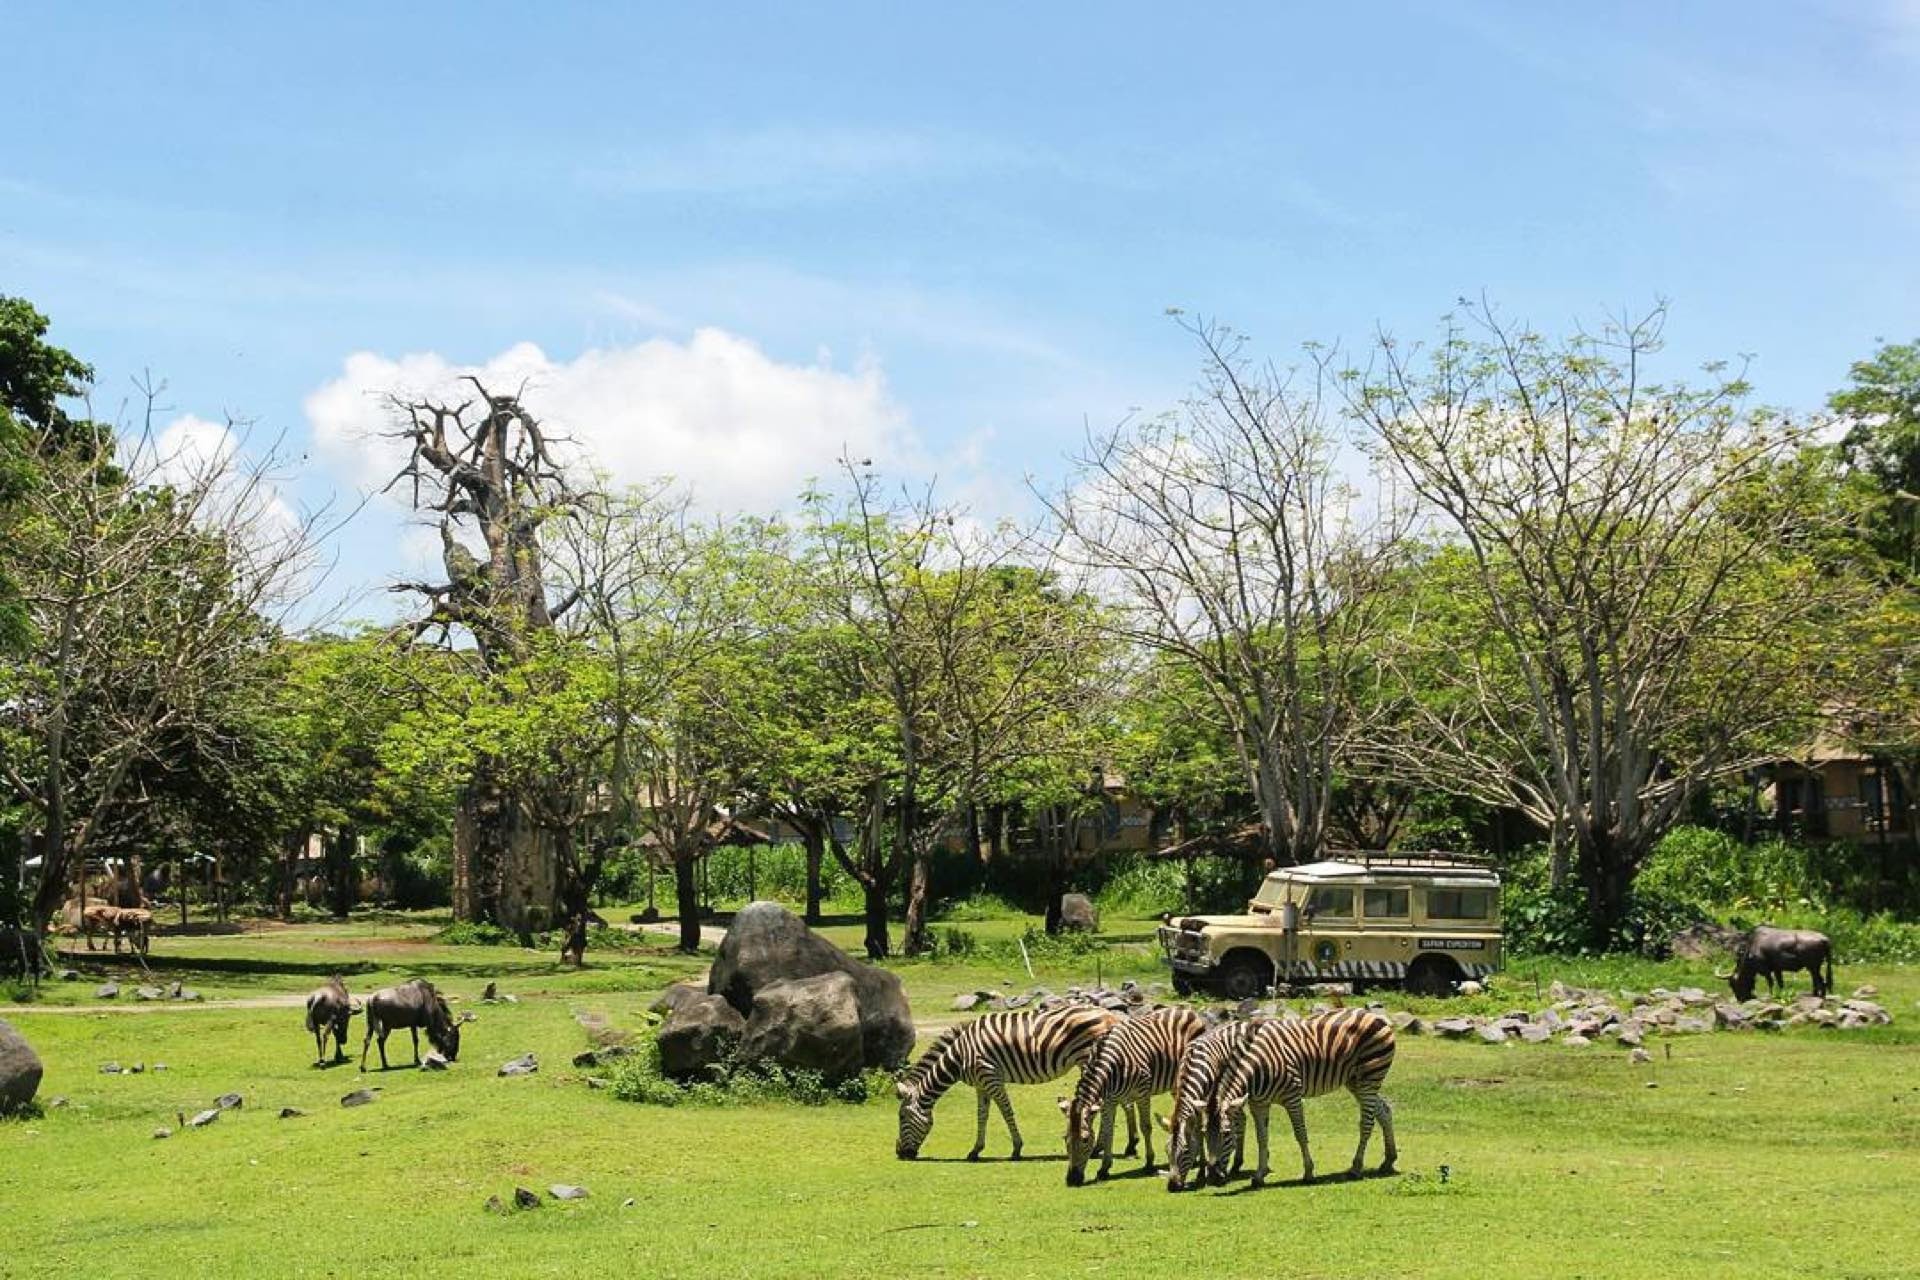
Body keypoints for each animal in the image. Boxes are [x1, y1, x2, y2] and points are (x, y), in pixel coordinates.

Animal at [894, 1013, 1121, 1159]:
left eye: (902, 1117)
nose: (899, 1153)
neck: (960, 1056)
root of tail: (1110, 1014)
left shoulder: (990, 1077)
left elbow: (1006, 1111)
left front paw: (1017, 1148)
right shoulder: (981, 1085)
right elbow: (982, 1115)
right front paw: (975, 1150)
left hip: (1090, 1060)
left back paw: (1099, 1148)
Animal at [1059, 1013, 1205, 1189]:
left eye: (1085, 1139)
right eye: (1065, 1138)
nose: (1072, 1180)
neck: (1110, 1067)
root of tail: (1188, 1012)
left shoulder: (1143, 1092)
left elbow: (1146, 1127)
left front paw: (1149, 1163)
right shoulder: (1108, 1101)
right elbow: (1108, 1131)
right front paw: (1104, 1169)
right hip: (1176, 1086)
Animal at [1152, 1020, 1259, 1189]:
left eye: (1186, 1151)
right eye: (1166, 1151)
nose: (1173, 1186)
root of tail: (1240, 1021)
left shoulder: (1209, 1104)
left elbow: (1202, 1133)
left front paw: (1204, 1173)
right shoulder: (1190, 1103)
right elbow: (1198, 1132)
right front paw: (1202, 1172)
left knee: (1240, 1121)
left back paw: (1236, 1165)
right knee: (1241, 1119)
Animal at [1213, 1013, 1397, 1189]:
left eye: (1226, 1133)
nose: (1214, 1178)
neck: (1258, 1067)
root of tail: (1377, 1017)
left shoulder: (1292, 1097)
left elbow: (1300, 1133)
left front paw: (1308, 1172)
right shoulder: (1259, 1104)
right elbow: (1262, 1138)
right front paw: (1259, 1176)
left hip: (1370, 1077)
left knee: (1367, 1123)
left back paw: (1356, 1168)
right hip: (1355, 1081)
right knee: (1385, 1111)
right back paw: (1388, 1161)